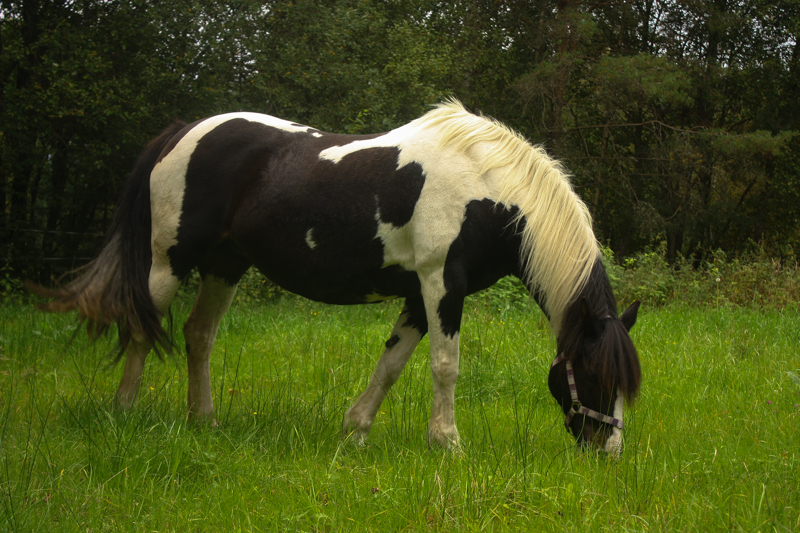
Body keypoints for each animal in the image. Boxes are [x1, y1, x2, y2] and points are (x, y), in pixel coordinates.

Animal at [29, 100, 641, 454]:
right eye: (594, 374)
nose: (607, 453)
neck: (487, 188)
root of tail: (183, 132)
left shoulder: (419, 295)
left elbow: (391, 365)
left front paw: (356, 431)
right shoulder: (442, 284)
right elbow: (445, 366)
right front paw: (447, 443)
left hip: (226, 266)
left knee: (198, 336)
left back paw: (204, 422)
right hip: (168, 261)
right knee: (140, 327)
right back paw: (124, 413)